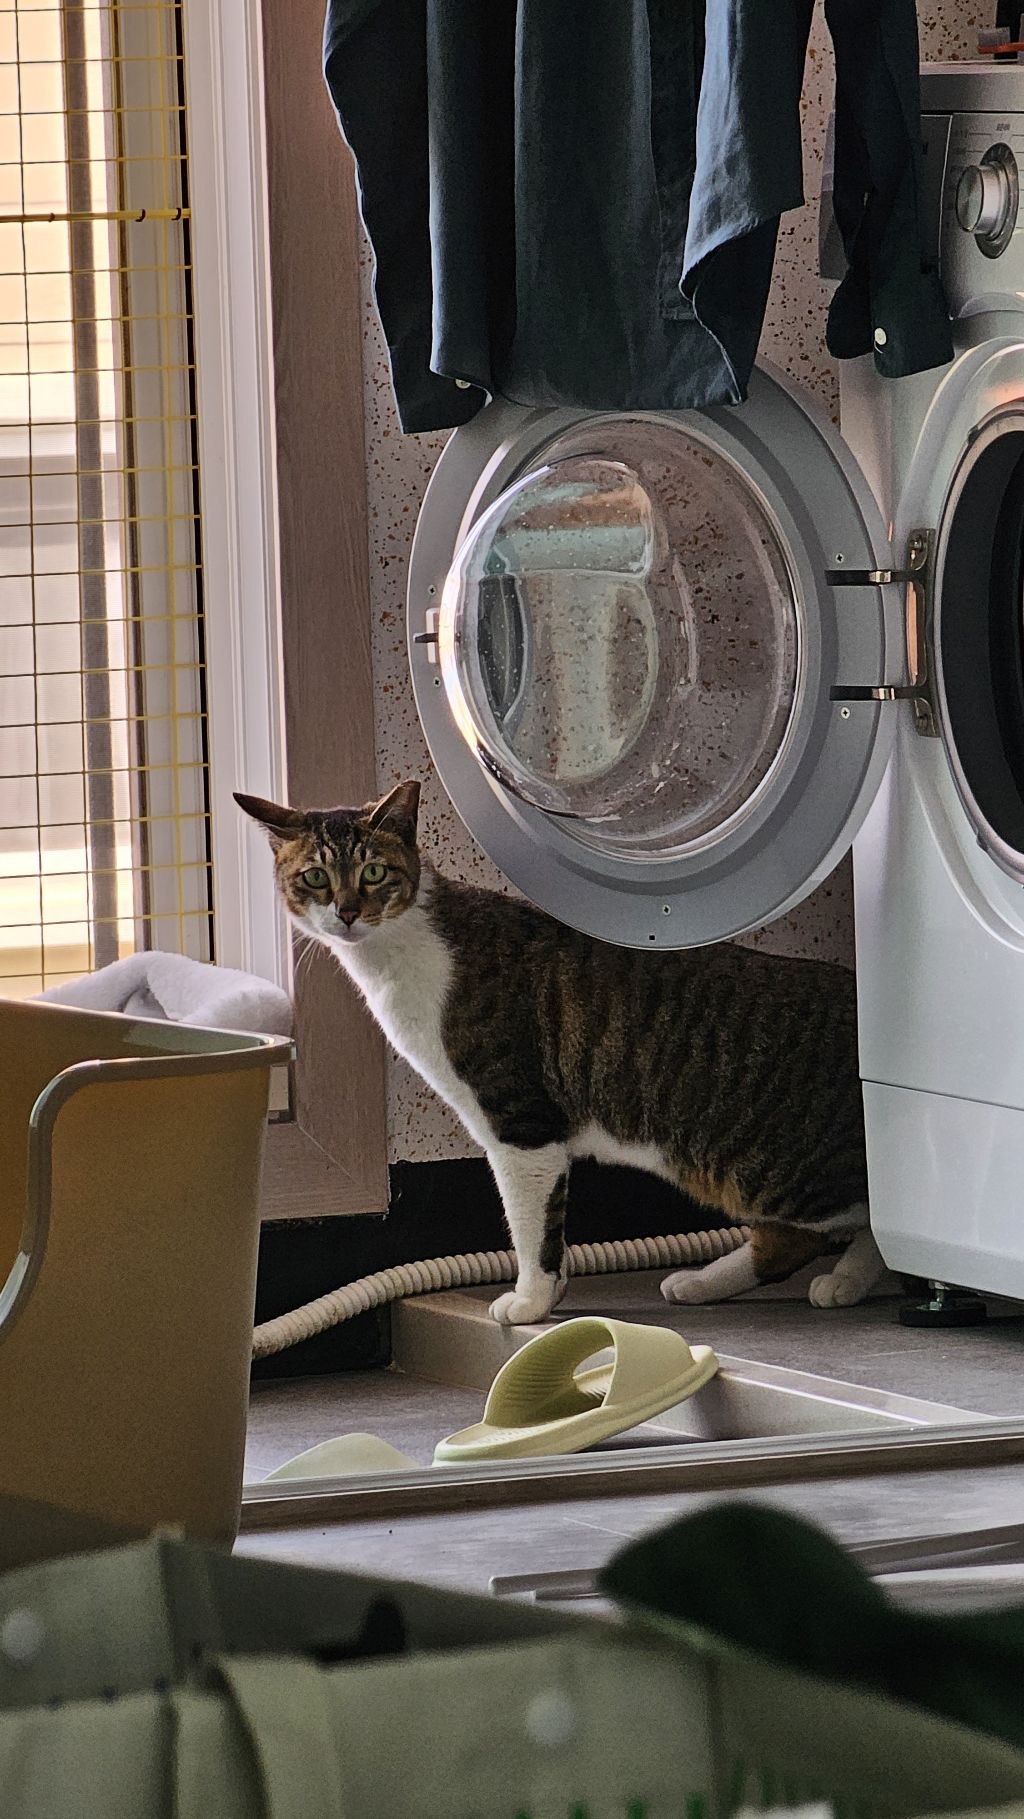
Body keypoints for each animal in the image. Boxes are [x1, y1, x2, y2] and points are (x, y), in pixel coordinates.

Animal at [236, 779, 885, 1325]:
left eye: (373, 871)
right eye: (315, 878)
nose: (347, 912)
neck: (395, 952)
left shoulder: (517, 1124)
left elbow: (531, 1226)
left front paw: (530, 1301)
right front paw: (552, 1294)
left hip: (772, 1168)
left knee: (859, 1213)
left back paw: (847, 1276)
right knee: (792, 1237)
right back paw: (709, 1282)